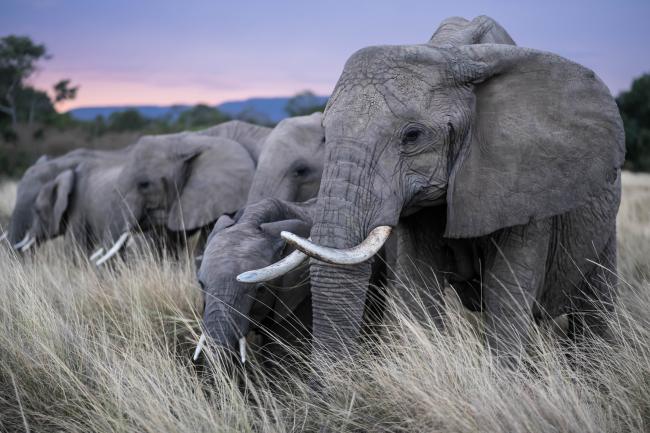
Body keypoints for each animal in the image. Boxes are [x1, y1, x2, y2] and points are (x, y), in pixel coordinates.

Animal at [243, 15, 624, 364]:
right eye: (325, 133)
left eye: (413, 136)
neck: (451, 53)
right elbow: (419, 290)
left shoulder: (526, 180)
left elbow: (506, 297)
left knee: (594, 310)